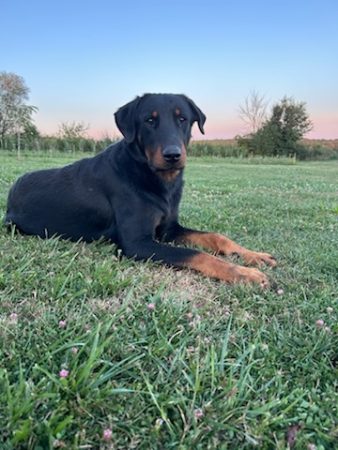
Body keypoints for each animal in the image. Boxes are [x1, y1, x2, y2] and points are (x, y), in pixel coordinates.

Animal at [3, 93, 276, 286]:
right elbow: (196, 254)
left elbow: (215, 237)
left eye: (183, 119)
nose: (173, 155)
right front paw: (243, 273)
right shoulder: (137, 243)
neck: (155, 179)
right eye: (149, 120)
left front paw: (254, 255)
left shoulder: (168, 229)